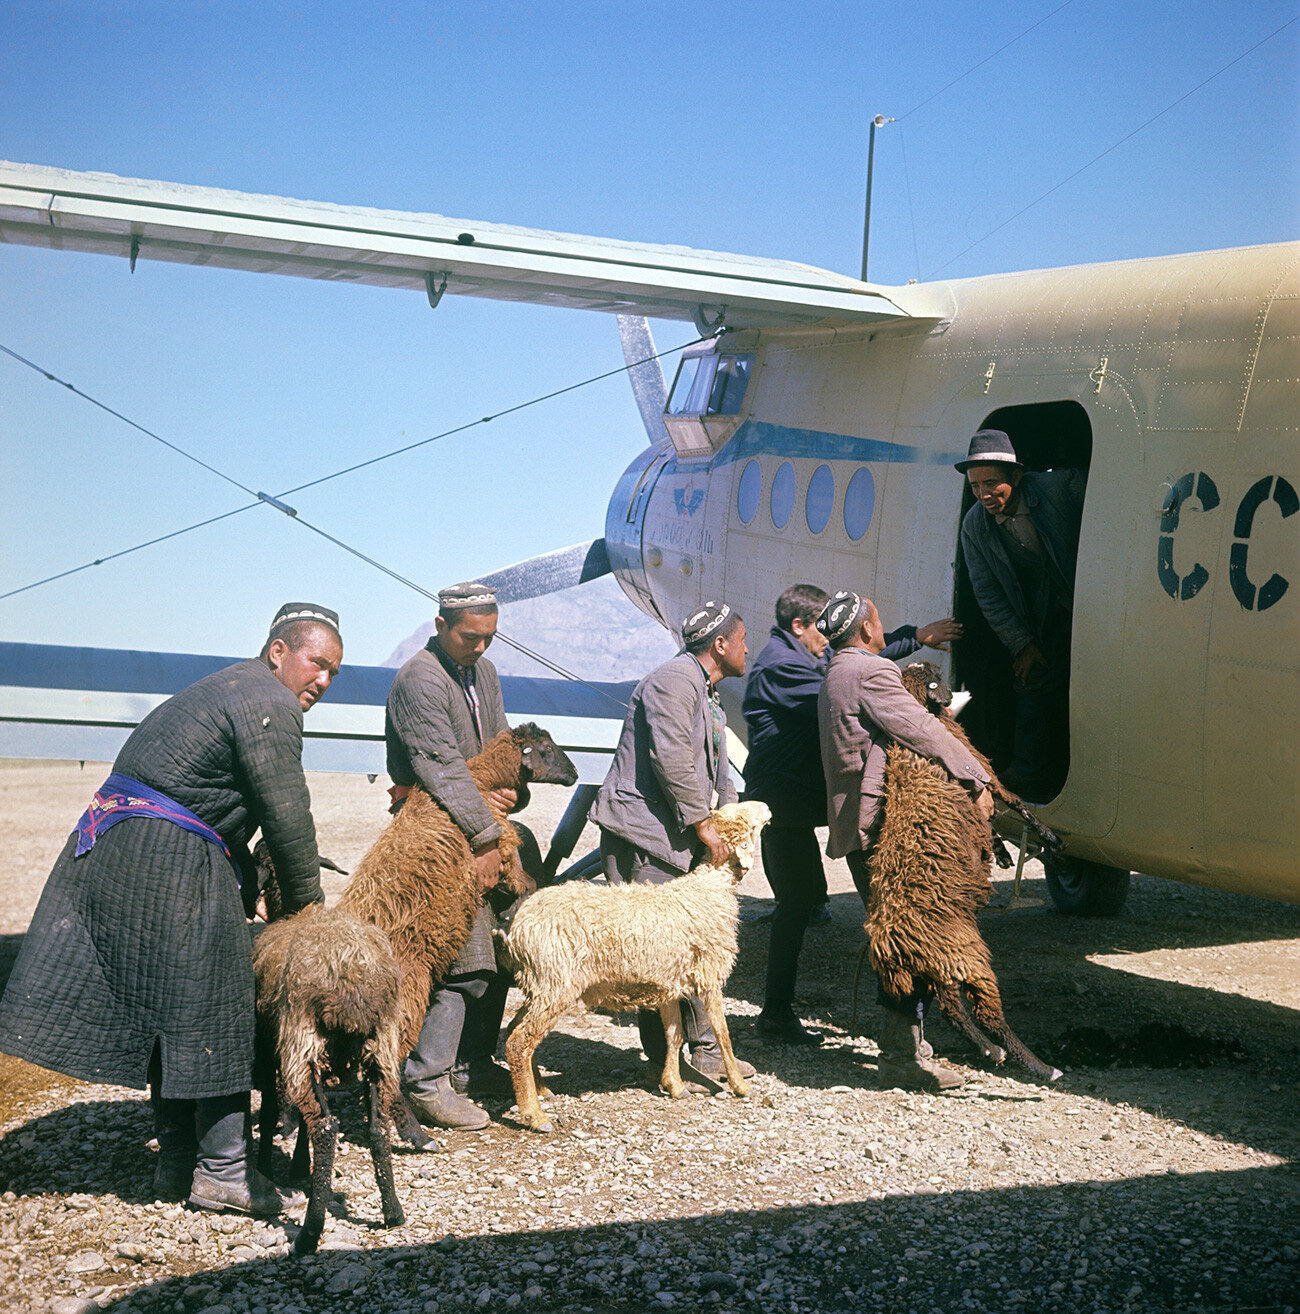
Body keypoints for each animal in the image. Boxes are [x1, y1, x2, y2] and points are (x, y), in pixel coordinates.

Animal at [494, 793, 762, 1135]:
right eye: (750, 823)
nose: (767, 807)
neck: (706, 890)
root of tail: (515, 928)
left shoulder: (669, 982)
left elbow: (673, 1035)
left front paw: (674, 1085)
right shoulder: (709, 974)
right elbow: (722, 1033)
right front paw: (740, 1086)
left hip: (541, 984)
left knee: (515, 1030)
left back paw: (540, 1089)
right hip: (555, 982)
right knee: (519, 1041)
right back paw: (535, 1115)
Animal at [867, 672, 1062, 1082]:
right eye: (937, 679)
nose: (955, 693)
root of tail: (890, 942)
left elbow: (991, 826)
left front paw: (1002, 855)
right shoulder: (983, 772)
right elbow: (1016, 803)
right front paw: (1051, 839)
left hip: (937, 968)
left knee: (952, 1011)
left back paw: (990, 1051)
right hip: (965, 956)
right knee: (987, 1013)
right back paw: (1040, 1066)